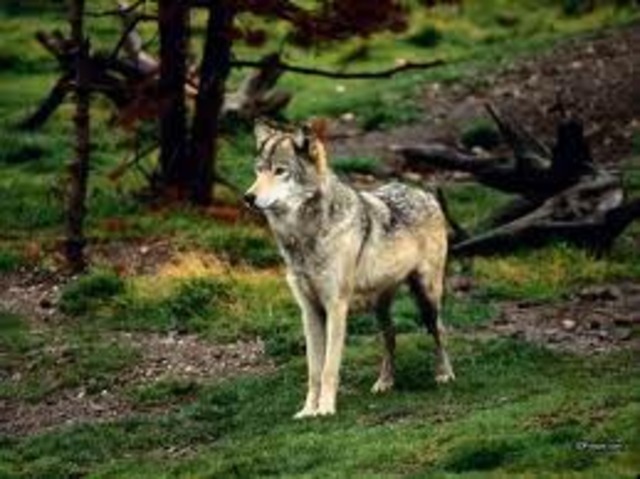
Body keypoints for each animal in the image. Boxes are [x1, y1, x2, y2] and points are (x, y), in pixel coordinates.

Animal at [244, 121, 455, 418]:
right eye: (259, 170)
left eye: (280, 171)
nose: (248, 197)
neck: (304, 238)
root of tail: (422, 192)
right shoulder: (309, 311)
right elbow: (314, 370)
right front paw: (308, 411)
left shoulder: (336, 307)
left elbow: (329, 368)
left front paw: (325, 410)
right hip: (380, 306)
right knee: (390, 337)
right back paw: (384, 382)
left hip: (427, 297)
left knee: (439, 331)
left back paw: (444, 374)